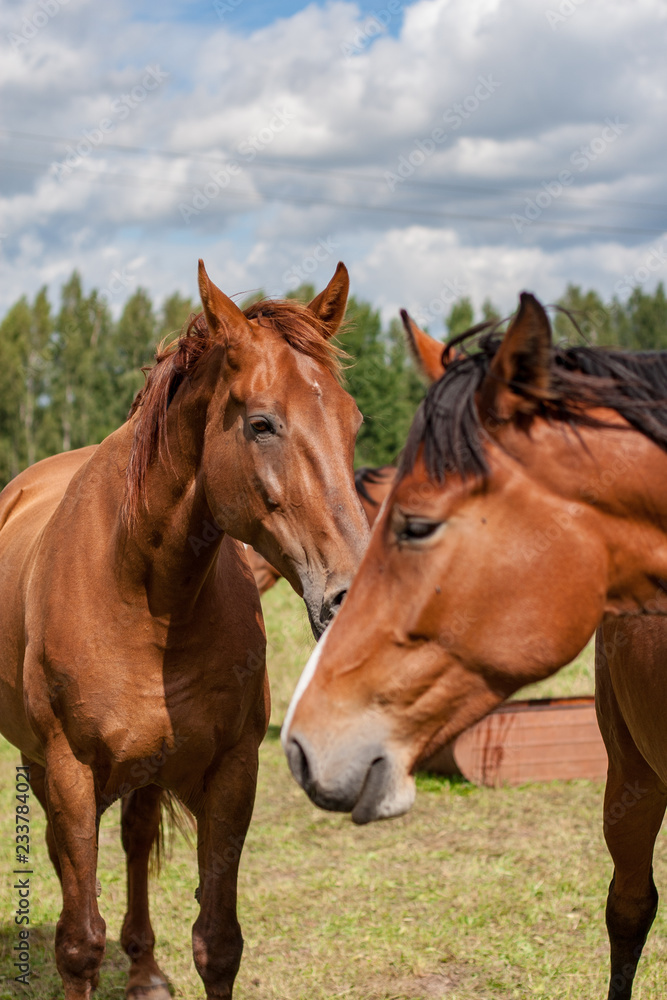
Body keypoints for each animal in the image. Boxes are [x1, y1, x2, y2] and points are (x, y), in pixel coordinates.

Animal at [0, 260, 370, 1000]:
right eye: (262, 424)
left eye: (353, 423)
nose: (351, 595)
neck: (144, 596)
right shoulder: (69, 771)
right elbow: (79, 943)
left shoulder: (231, 769)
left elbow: (219, 943)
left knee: (137, 840)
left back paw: (144, 969)